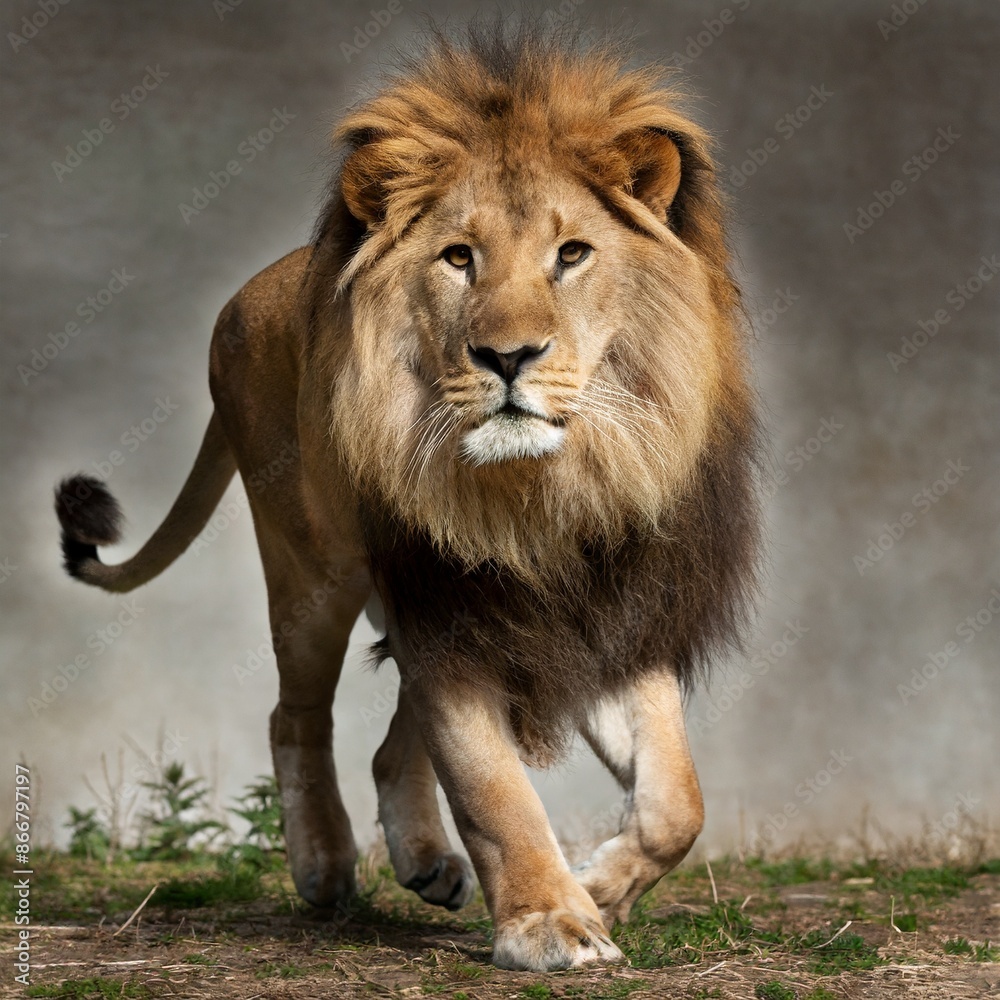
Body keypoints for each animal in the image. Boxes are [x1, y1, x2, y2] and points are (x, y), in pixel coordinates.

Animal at [54, 29, 759, 971]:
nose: (508, 356)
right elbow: (495, 791)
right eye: (459, 257)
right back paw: (324, 866)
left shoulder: (611, 617)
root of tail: (254, 288)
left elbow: (678, 801)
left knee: (393, 746)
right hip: (313, 574)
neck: (541, 492)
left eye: (572, 254)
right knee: (294, 714)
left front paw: (600, 886)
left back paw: (425, 860)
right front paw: (551, 920)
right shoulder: (447, 621)